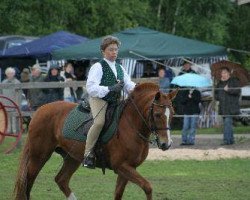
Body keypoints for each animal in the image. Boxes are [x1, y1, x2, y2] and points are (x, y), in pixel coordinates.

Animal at [14, 82, 178, 200]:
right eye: (157, 115)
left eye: (172, 113)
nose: (166, 144)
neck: (131, 124)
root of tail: (40, 110)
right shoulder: (122, 166)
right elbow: (147, 187)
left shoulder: (128, 168)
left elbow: (118, 194)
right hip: (39, 156)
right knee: (28, 182)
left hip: (72, 158)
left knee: (61, 180)